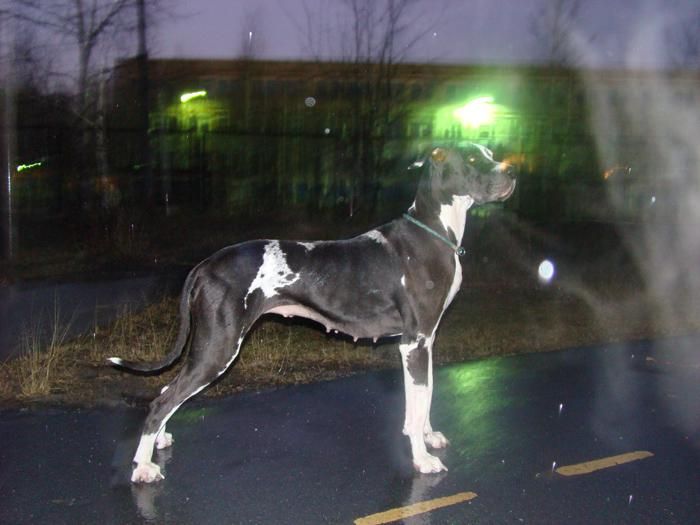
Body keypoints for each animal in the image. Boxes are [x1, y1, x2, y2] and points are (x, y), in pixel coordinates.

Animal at [109, 145, 516, 483]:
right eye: (474, 158)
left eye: (489, 151)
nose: (512, 171)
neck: (434, 231)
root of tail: (205, 264)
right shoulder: (413, 343)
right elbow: (417, 406)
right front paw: (422, 459)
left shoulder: (426, 341)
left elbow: (425, 397)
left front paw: (429, 436)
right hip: (218, 349)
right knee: (161, 401)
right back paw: (143, 467)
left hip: (210, 348)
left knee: (167, 390)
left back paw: (159, 442)